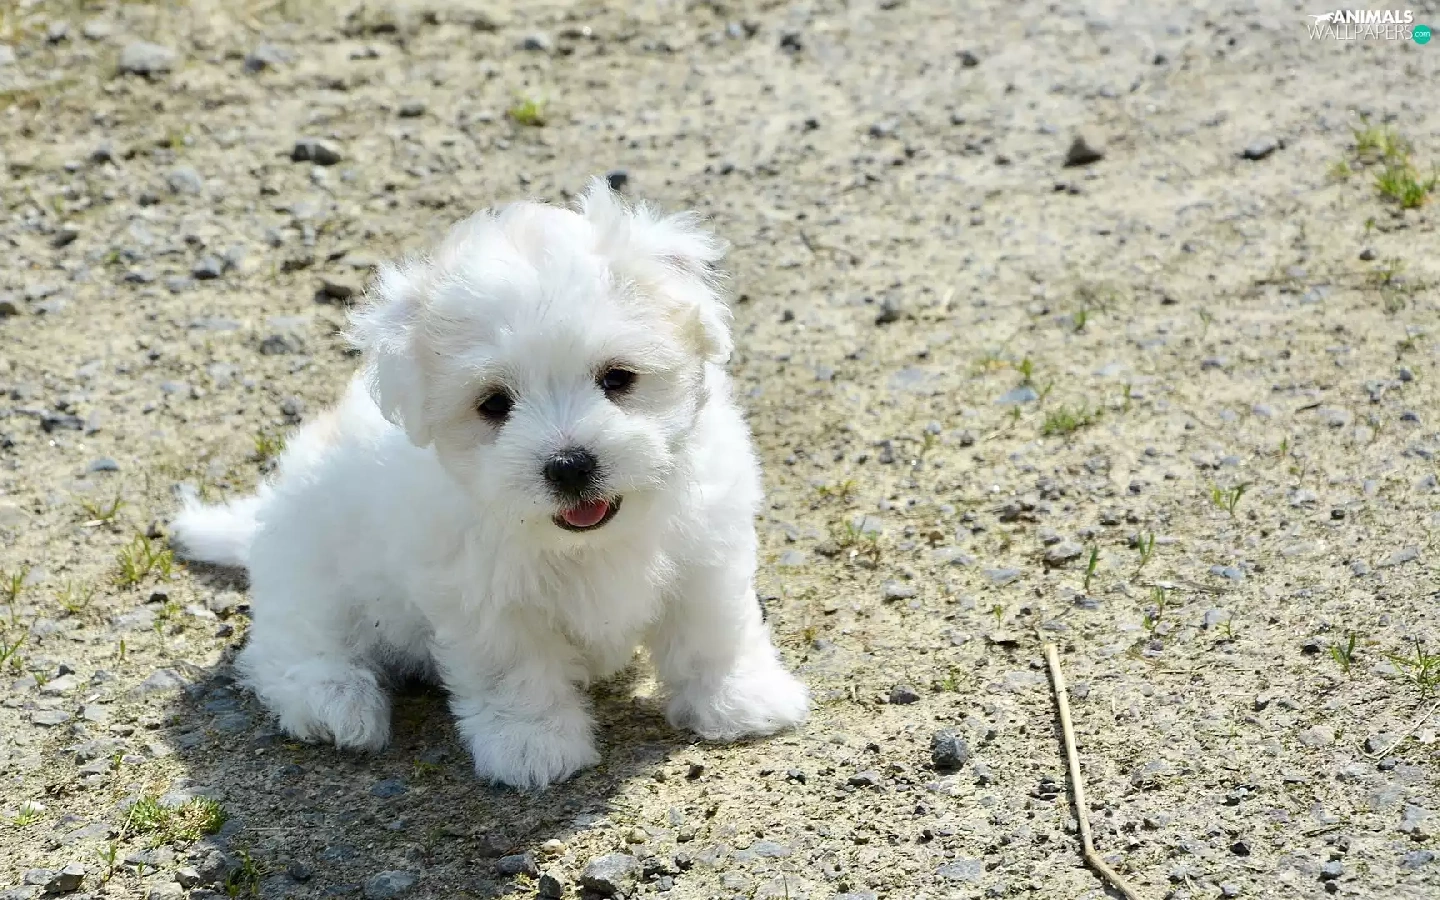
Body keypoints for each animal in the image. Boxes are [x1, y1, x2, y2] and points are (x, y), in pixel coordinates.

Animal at [171, 178, 810, 790]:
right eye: (494, 404)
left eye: (618, 378)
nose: (570, 464)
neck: (585, 543)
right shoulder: (481, 598)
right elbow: (514, 671)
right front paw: (533, 746)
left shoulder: (705, 549)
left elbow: (712, 629)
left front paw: (738, 699)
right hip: (309, 573)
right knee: (288, 647)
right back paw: (335, 702)